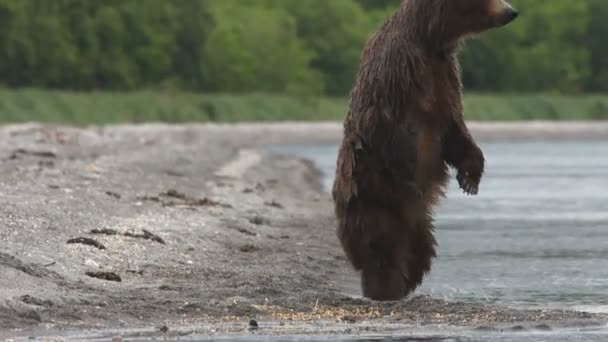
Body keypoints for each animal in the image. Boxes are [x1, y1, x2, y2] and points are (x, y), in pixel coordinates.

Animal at [332, 0, 516, 300]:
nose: (511, 11)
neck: (430, 40)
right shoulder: (398, 73)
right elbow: (395, 131)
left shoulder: (444, 76)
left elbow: (455, 130)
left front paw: (470, 179)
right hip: (371, 193)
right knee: (378, 242)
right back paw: (382, 286)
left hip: (417, 220)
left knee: (420, 249)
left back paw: (405, 282)